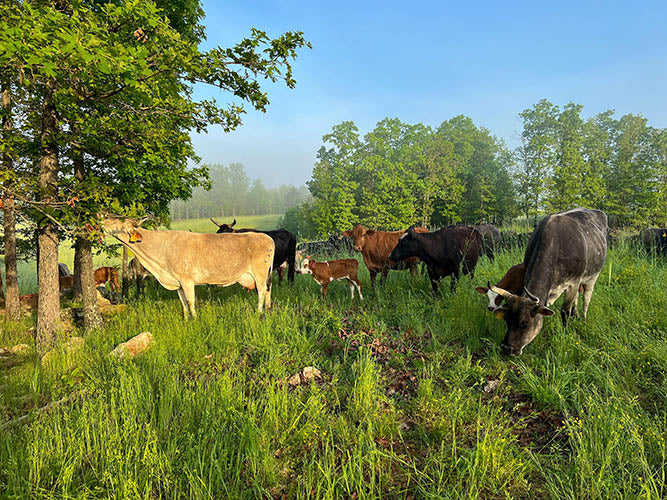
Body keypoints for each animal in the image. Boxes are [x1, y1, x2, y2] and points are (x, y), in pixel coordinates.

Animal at [103, 218, 275, 317]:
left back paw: (259, 312)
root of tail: (266, 237)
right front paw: (186, 320)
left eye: (113, 222)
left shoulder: (187, 280)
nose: (101, 221)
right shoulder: (178, 282)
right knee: (268, 290)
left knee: (261, 292)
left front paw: (196, 320)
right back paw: (267, 309)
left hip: (259, 273)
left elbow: (191, 302)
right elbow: (183, 303)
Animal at [490, 208, 608, 356]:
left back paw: (583, 319)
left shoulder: (573, 282)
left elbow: (564, 311)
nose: (506, 348)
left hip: (592, 276)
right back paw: (575, 316)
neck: (556, 244)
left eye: (524, 323)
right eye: (506, 319)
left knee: (586, 298)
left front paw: (565, 332)